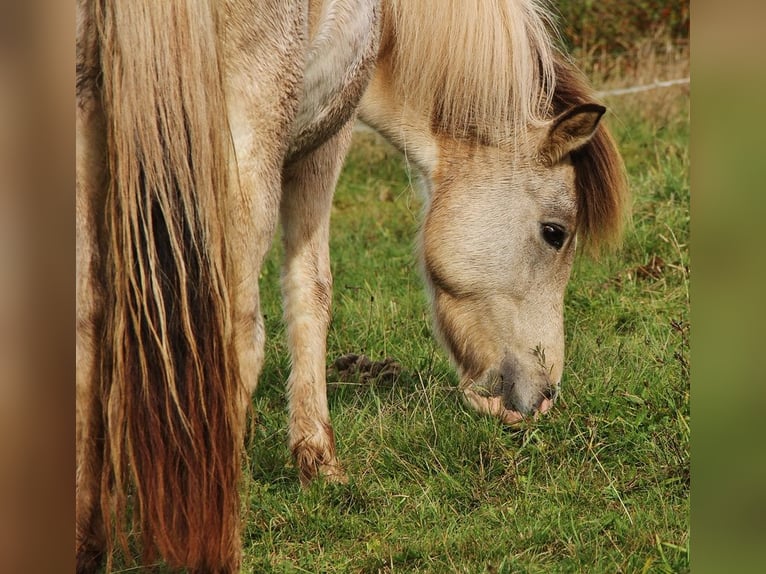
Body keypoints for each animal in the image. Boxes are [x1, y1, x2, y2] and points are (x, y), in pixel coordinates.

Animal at [76, 1, 632, 574]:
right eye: (555, 233)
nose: (543, 398)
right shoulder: (326, 137)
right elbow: (312, 290)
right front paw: (317, 460)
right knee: (234, 338)